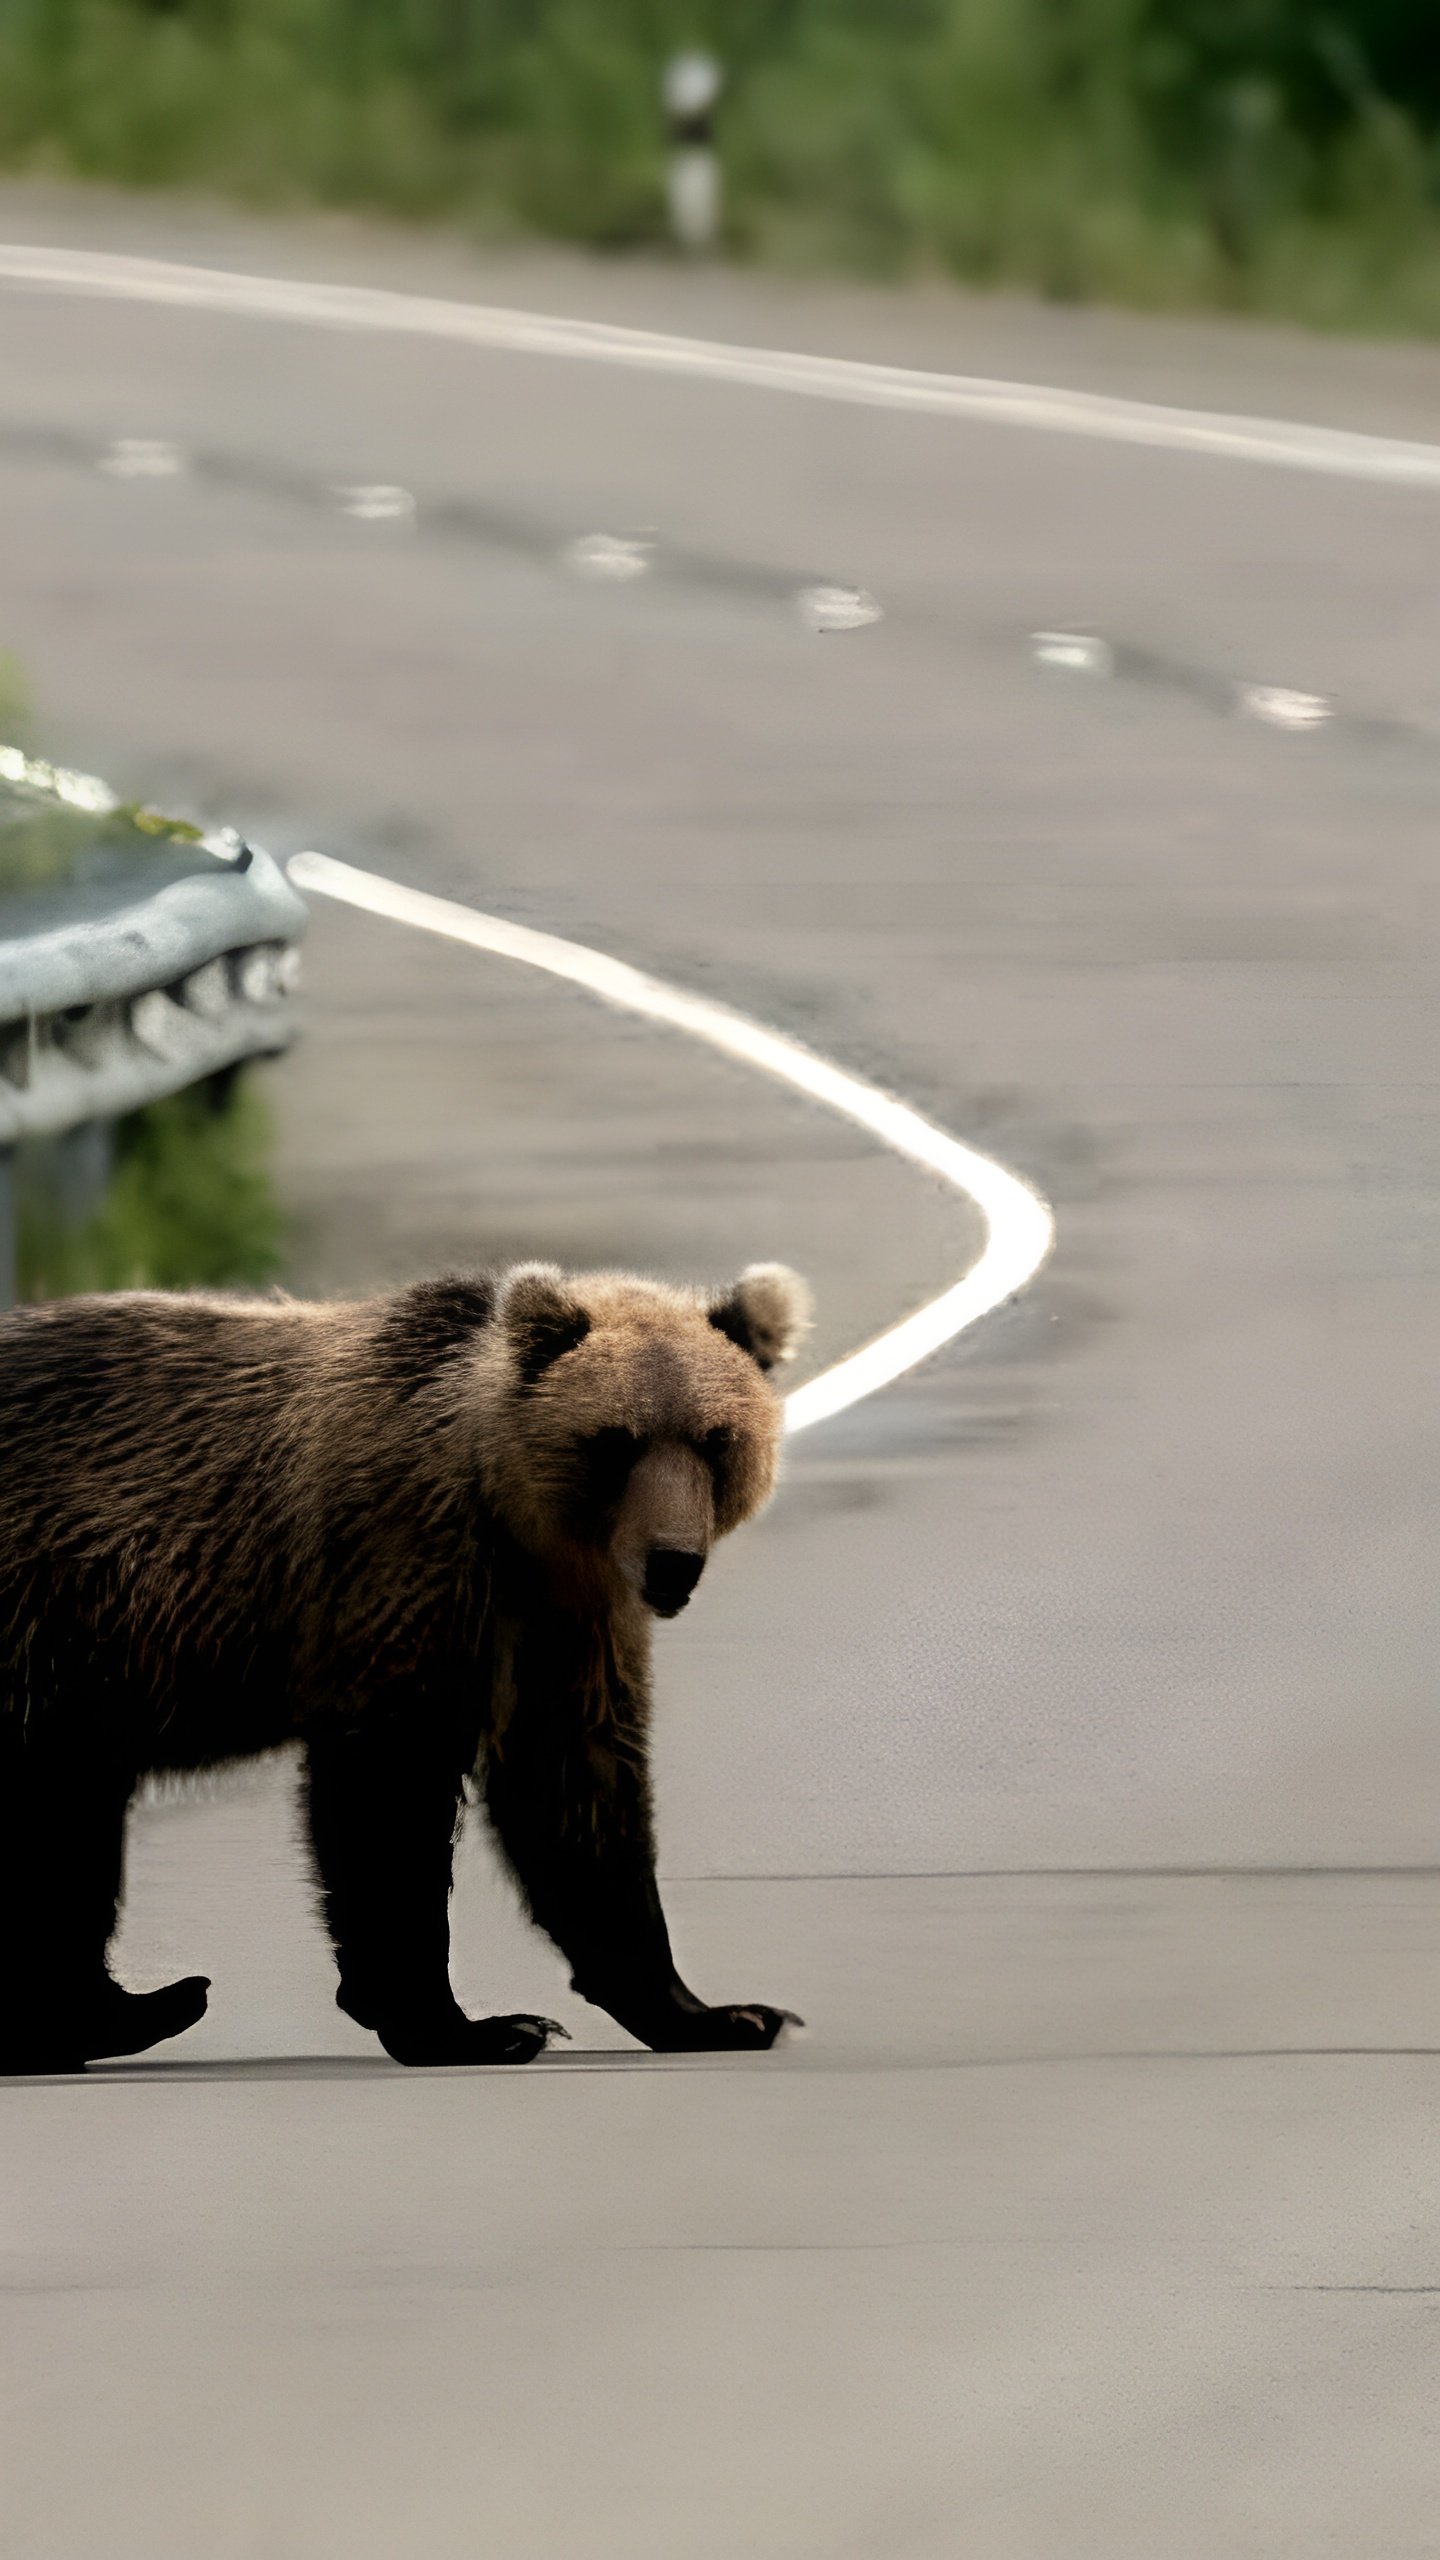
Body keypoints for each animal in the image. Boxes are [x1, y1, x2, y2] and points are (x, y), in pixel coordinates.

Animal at [0, 1259, 809, 2078]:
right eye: (614, 1441)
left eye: (716, 1439)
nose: (672, 1562)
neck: (513, 1517)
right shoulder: (402, 1564)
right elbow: (390, 1796)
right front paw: (472, 2027)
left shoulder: (563, 1623)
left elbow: (577, 1791)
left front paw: (719, 2014)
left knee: (72, 1817)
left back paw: (123, 2012)